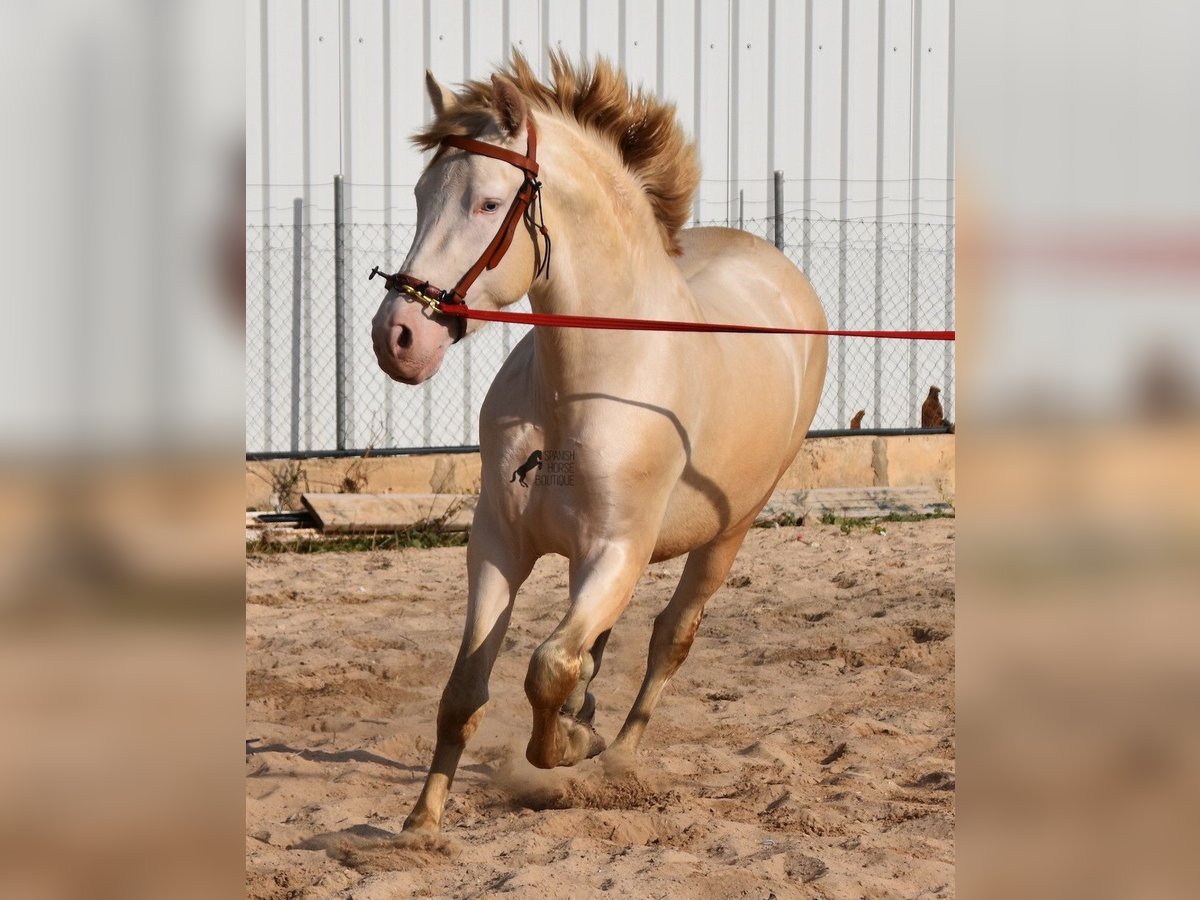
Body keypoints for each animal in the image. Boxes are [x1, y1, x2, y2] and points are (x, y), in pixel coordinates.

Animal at [369, 52, 830, 835]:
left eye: (488, 204)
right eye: (423, 192)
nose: (397, 337)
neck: (585, 383)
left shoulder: (616, 550)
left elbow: (547, 668)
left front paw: (571, 747)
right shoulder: (499, 543)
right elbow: (465, 693)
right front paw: (419, 827)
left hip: (726, 533)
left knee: (670, 636)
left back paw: (615, 756)